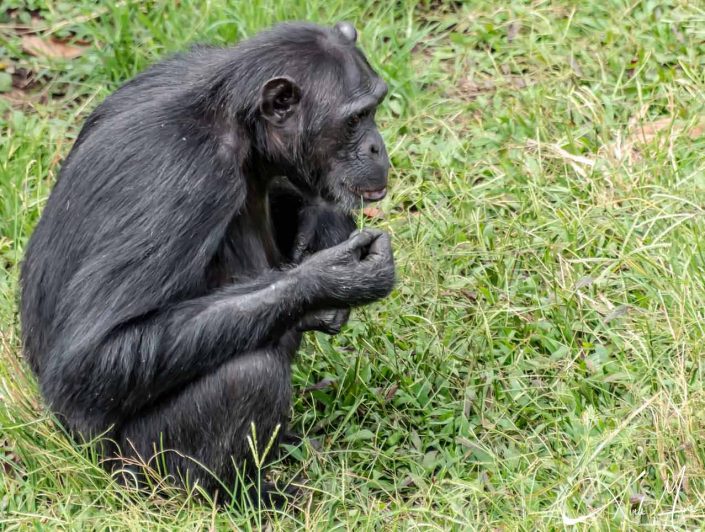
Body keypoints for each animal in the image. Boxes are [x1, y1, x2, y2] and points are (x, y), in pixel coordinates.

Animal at [20, 20, 396, 502]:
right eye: (354, 119)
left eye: (374, 108)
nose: (376, 146)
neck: (238, 122)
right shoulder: (188, 179)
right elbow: (92, 358)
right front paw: (333, 277)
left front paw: (322, 225)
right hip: (138, 470)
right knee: (249, 374)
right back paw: (246, 499)